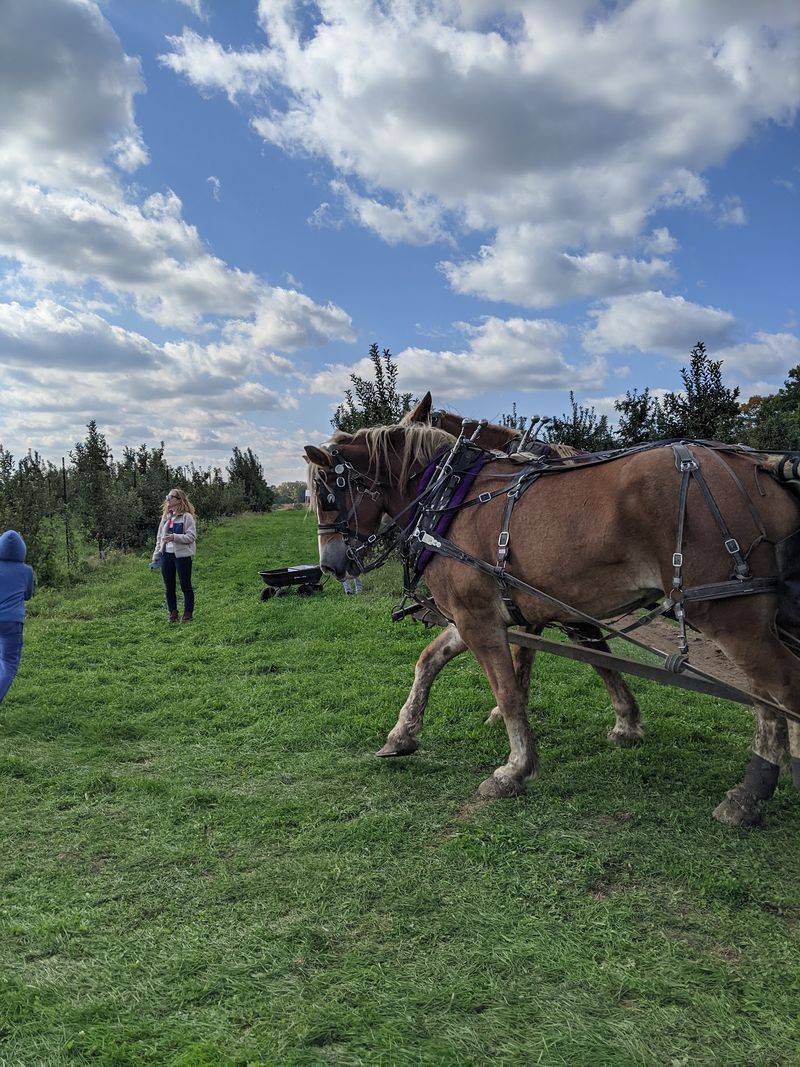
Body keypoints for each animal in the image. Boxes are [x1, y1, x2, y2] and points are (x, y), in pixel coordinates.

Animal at [304, 414, 800, 828]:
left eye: (328, 494)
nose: (330, 564)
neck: (450, 499)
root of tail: (758, 469)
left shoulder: (480, 618)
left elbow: (509, 690)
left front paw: (514, 769)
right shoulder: (483, 615)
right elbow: (430, 661)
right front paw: (402, 734)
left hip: (731, 616)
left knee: (778, 690)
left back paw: (749, 795)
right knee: (765, 696)